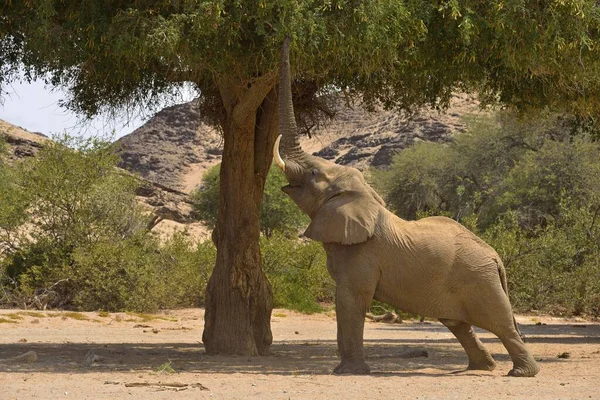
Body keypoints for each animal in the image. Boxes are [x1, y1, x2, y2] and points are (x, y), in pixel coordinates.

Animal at [272, 38, 540, 378]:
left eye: (313, 175)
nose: (286, 39)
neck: (364, 196)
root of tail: (495, 256)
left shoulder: (361, 257)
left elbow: (351, 300)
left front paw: (348, 372)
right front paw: (345, 369)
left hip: (480, 279)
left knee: (500, 323)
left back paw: (521, 373)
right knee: (459, 324)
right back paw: (481, 368)